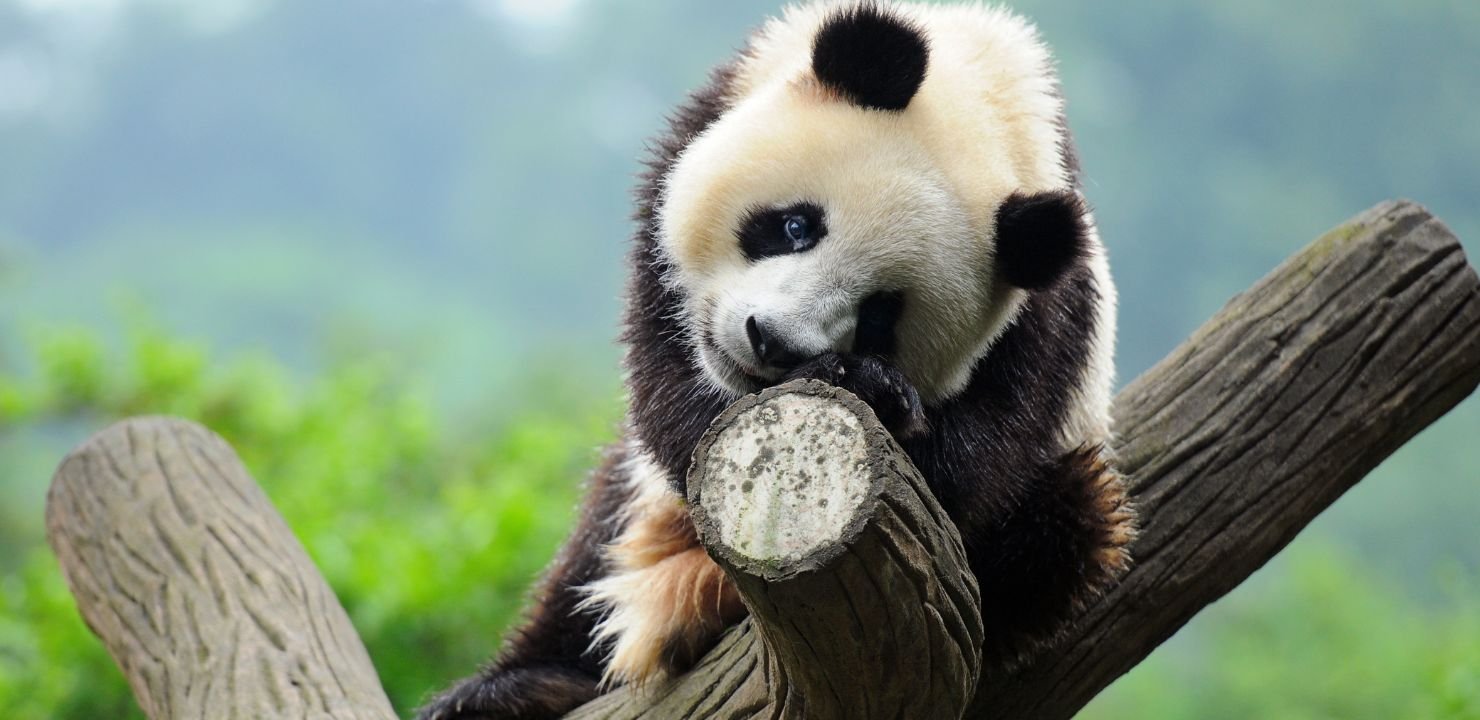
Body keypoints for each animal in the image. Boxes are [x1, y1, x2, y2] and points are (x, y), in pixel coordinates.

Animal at [418, 2, 1135, 718]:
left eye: (881, 316)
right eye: (796, 226)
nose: (769, 341)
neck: (990, 94)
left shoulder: (1045, 324)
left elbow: (964, 470)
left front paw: (873, 390)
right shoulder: (706, 124)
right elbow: (667, 385)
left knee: (1063, 528)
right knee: (597, 535)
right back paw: (519, 684)